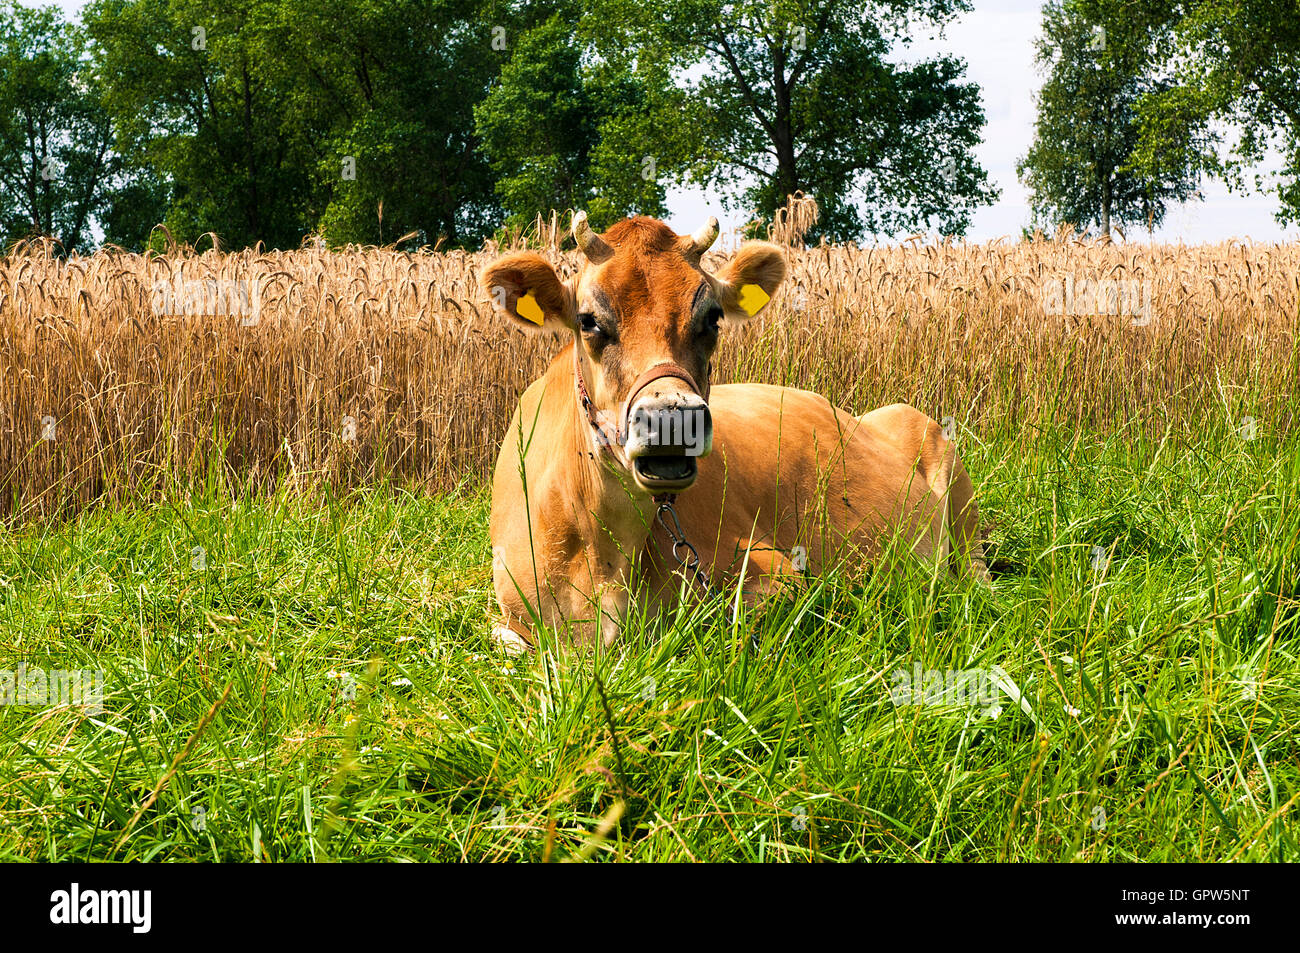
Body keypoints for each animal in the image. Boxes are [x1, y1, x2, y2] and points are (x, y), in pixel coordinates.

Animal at [481, 212, 989, 653]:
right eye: (588, 320)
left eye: (712, 317)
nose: (671, 419)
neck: (602, 551)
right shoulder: (508, 617)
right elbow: (507, 644)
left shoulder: (772, 567)